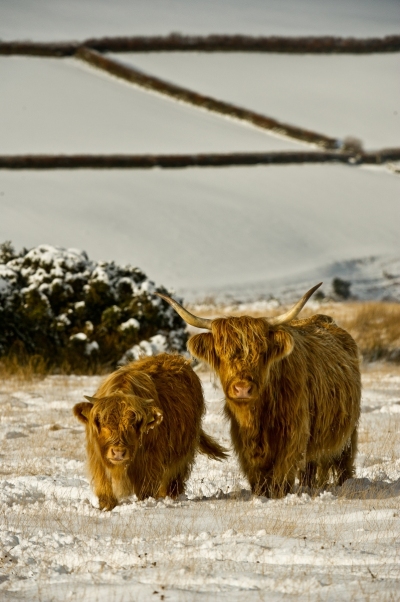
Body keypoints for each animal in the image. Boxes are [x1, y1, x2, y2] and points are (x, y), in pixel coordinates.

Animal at [73, 352, 227, 506]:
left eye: (133, 424)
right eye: (102, 423)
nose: (118, 452)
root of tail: (174, 357)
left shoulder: (149, 462)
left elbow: (145, 490)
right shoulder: (98, 460)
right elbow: (105, 488)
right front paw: (106, 506)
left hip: (183, 453)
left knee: (174, 481)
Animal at [157, 286, 362, 496]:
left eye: (262, 352)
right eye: (222, 354)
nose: (242, 389)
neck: (257, 416)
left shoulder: (293, 435)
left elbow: (281, 475)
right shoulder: (243, 441)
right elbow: (258, 478)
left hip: (347, 433)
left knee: (343, 463)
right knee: (309, 469)